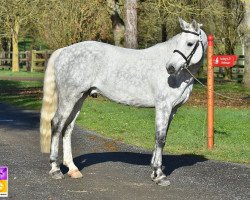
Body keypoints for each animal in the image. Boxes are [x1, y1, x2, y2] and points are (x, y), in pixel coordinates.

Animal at [40, 18, 207, 186]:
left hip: (79, 98)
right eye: (180, 42)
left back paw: (73, 169)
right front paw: (160, 175)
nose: (170, 67)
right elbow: (160, 138)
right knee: (57, 124)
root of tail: (64, 51)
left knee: (68, 128)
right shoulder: (163, 106)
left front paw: (154, 172)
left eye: (190, 43)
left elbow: (161, 136)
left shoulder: (172, 109)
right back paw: (55, 169)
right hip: (69, 97)